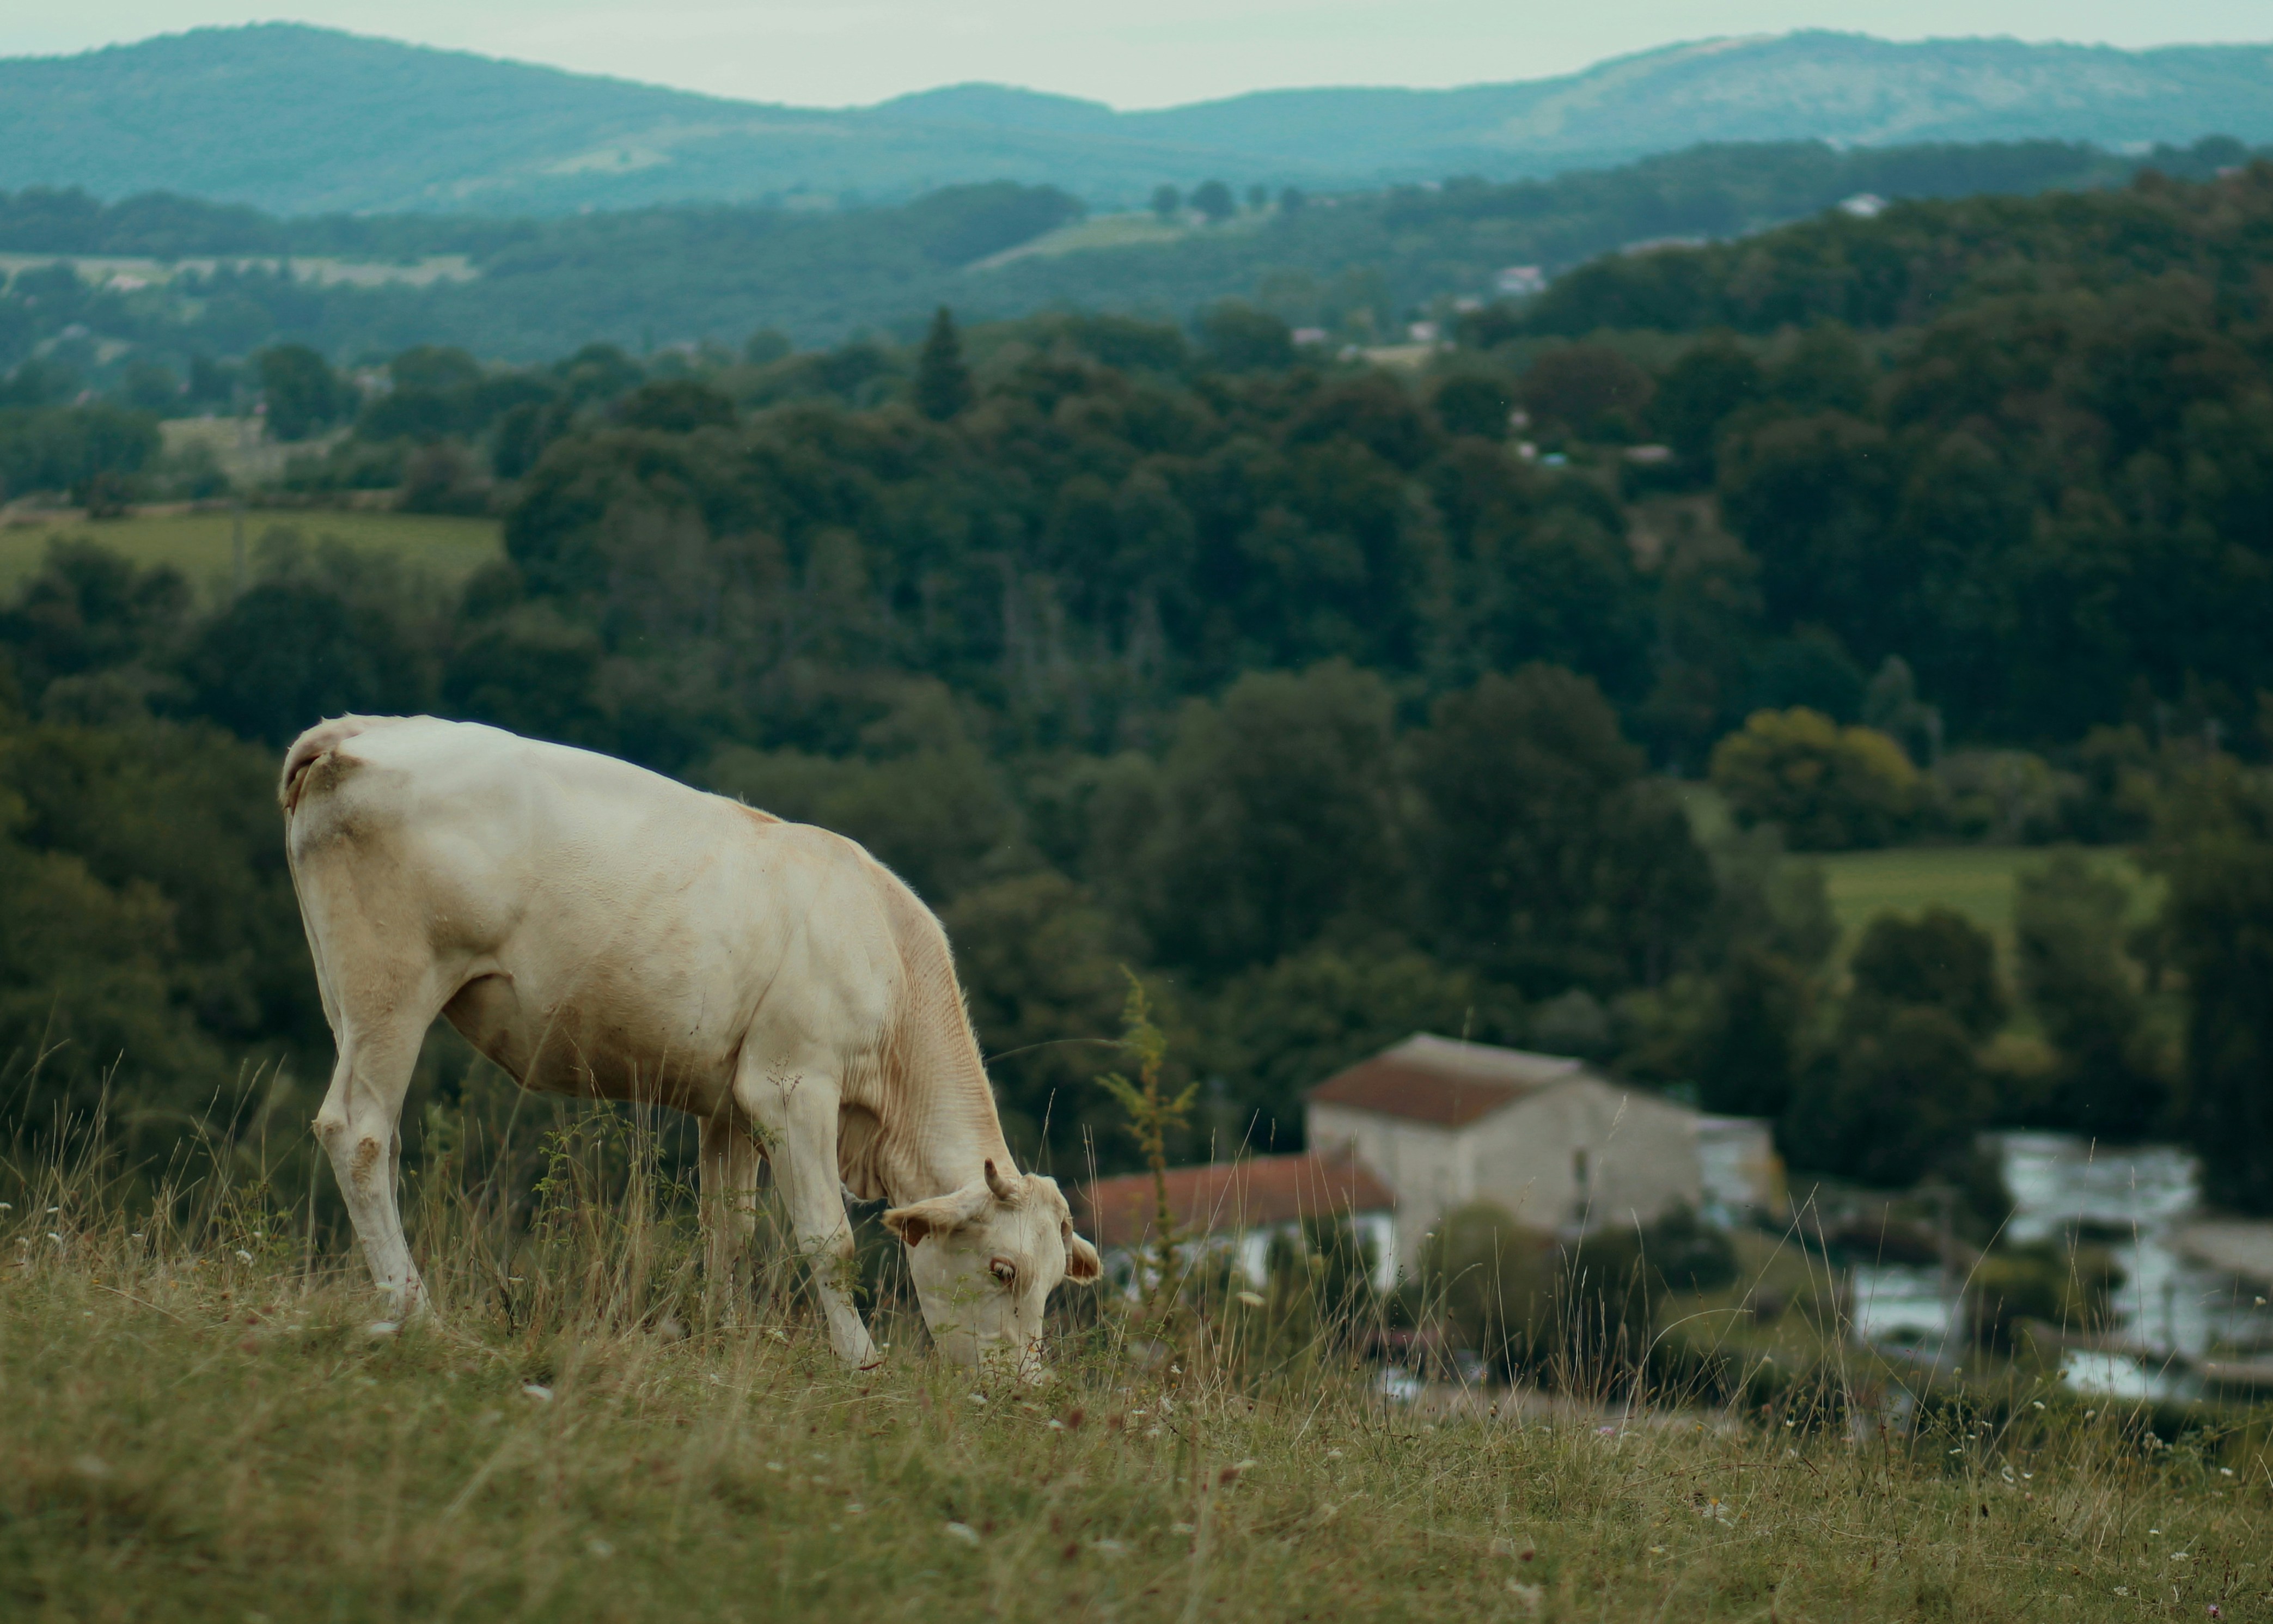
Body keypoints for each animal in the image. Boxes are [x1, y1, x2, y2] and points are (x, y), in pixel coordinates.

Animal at [279, 714, 1102, 1372]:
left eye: (1054, 1281)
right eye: (1001, 1268)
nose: (1025, 1388)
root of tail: (358, 728)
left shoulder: (731, 1103)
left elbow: (727, 1229)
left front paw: (724, 1338)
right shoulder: (791, 1085)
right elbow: (826, 1239)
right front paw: (861, 1361)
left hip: (341, 992)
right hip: (391, 985)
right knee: (359, 1133)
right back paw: (416, 1313)